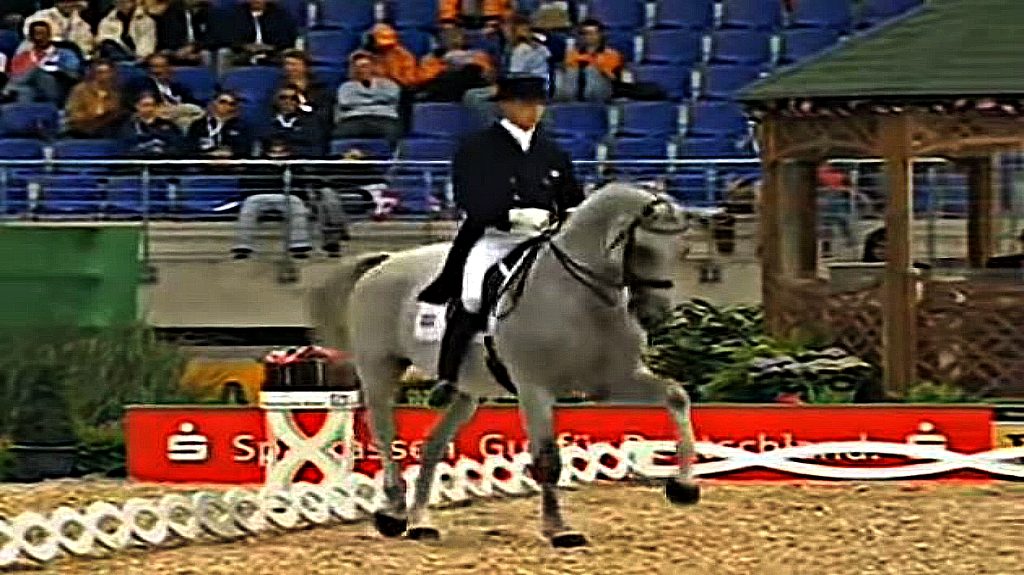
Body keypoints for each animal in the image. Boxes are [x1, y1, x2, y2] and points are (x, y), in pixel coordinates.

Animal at [309, 182, 701, 548]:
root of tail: (384, 262)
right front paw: (559, 530)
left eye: (681, 250)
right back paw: (393, 514)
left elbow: (675, 396)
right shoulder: (534, 389)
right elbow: (547, 460)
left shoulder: (612, 381)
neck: (579, 297)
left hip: (467, 392)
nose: (655, 316)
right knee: (385, 434)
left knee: (433, 445)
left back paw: (421, 522)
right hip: (380, 369)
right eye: (644, 250)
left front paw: (683, 487)